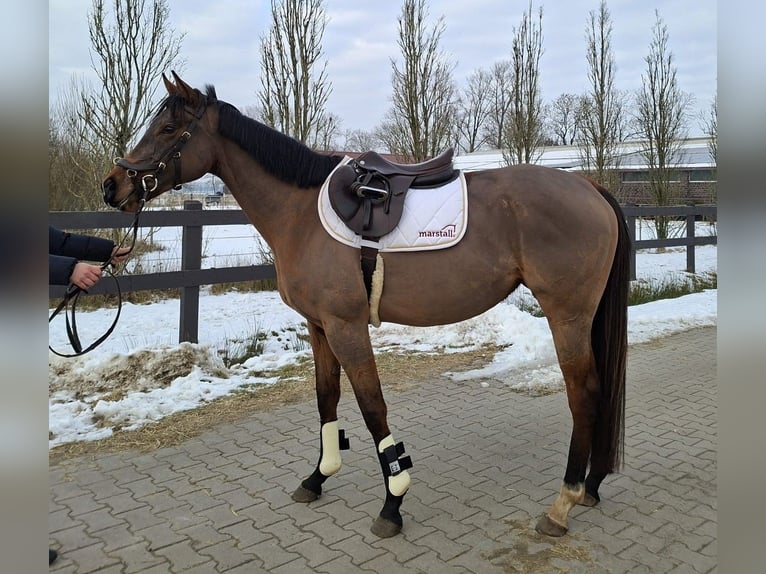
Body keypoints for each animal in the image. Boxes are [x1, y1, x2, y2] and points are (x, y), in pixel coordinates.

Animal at [102, 72, 629, 539]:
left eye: (168, 129)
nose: (113, 186)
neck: (300, 213)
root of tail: (590, 188)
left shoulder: (346, 326)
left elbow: (372, 406)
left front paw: (393, 502)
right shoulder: (318, 327)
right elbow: (326, 398)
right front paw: (318, 476)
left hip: (567, 316)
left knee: (583, 394)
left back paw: (563, 502)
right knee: (598, 391)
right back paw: (590, 487)